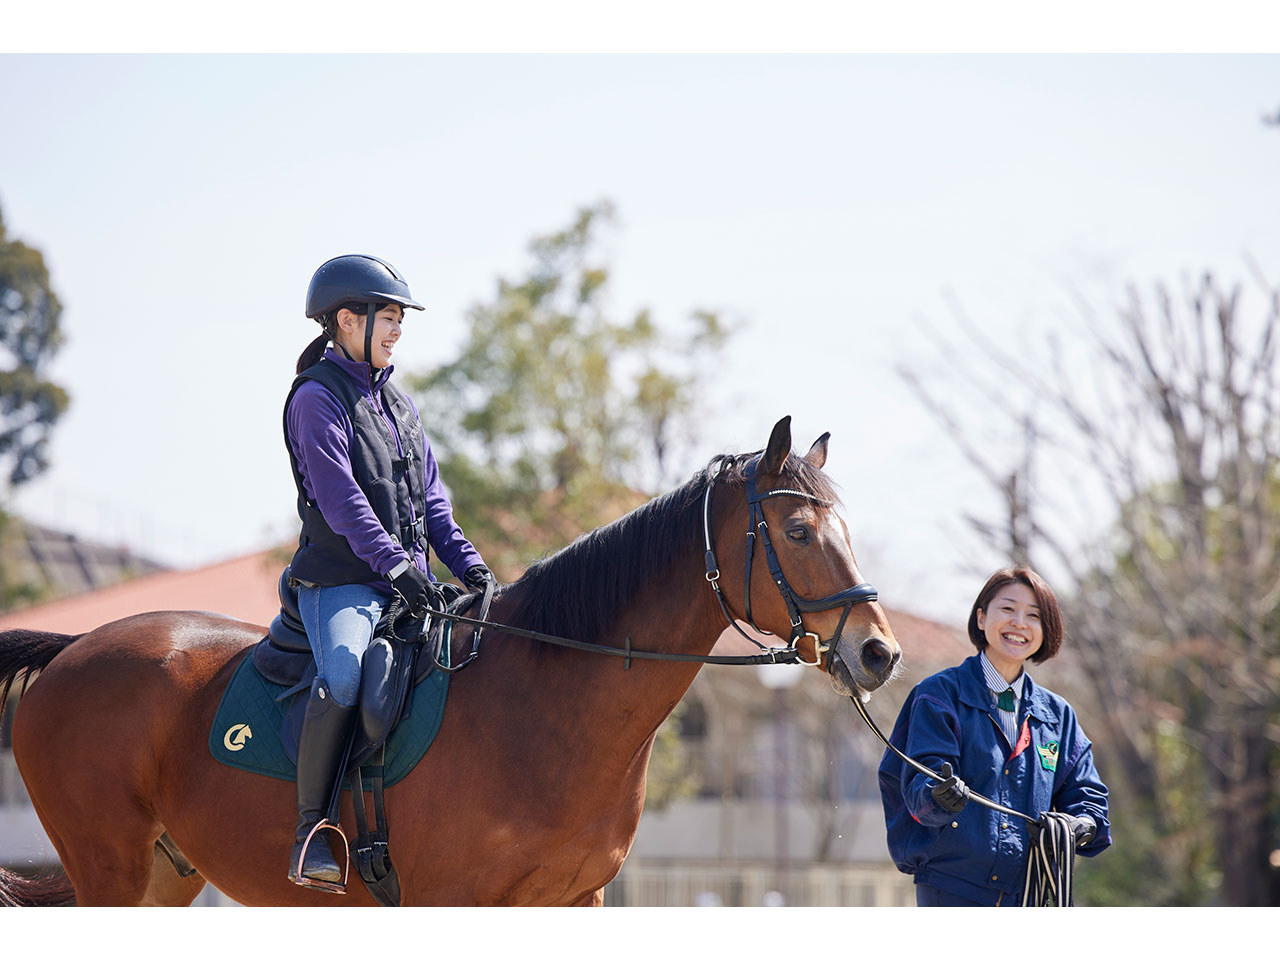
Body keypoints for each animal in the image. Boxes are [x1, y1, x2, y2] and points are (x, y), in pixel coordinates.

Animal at [0, 417, 901, 906]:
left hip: (163, 874)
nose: (878, 651)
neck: (546, 708)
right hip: (110, 869)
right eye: (797, 532)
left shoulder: (575, 900)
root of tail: (76, 651)